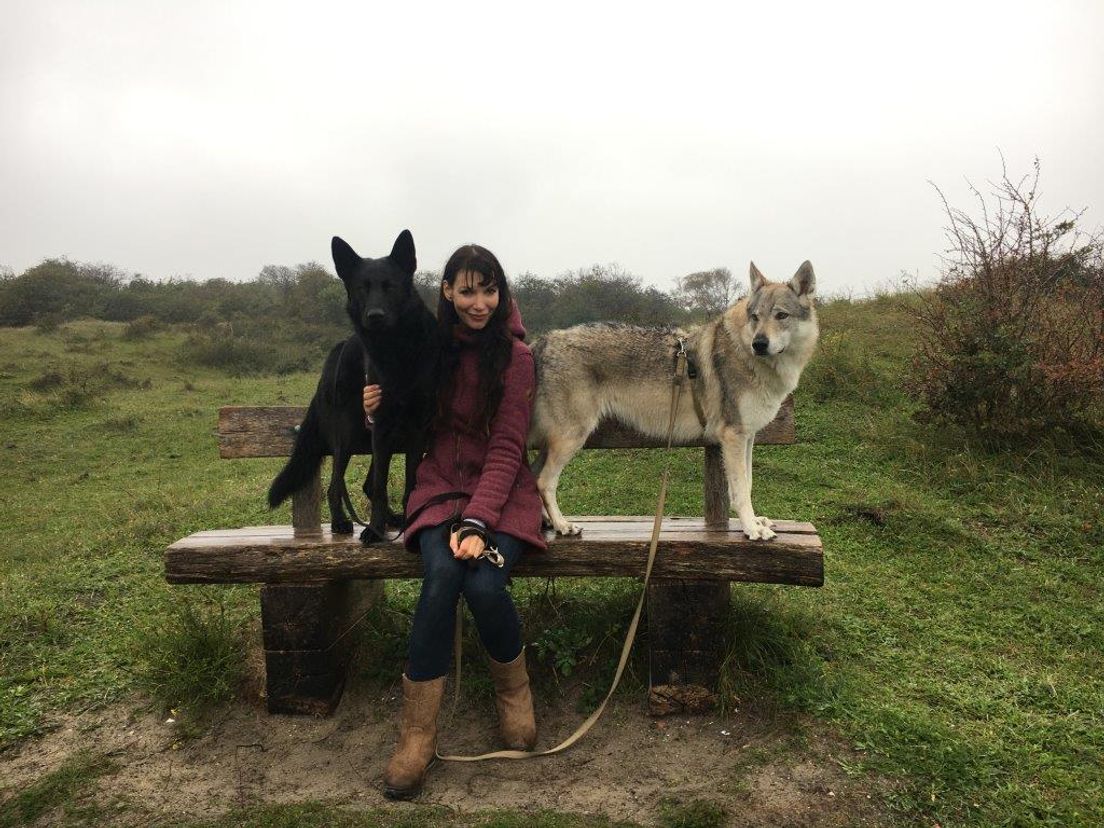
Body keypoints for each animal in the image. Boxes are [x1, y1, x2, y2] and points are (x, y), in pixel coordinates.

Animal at [268, 231, 439, 545]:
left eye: (390, 286)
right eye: (362, 288)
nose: (374, 316)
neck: (397, 353)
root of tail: (339, 349)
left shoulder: (416, 431)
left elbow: (410, 483)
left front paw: (407, 521)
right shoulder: (381, 426)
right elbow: (382, 488)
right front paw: (374, 529)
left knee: (367, 484)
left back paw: (392, 520)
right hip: (347, 435)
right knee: (337, 486)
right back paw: (341, 522)